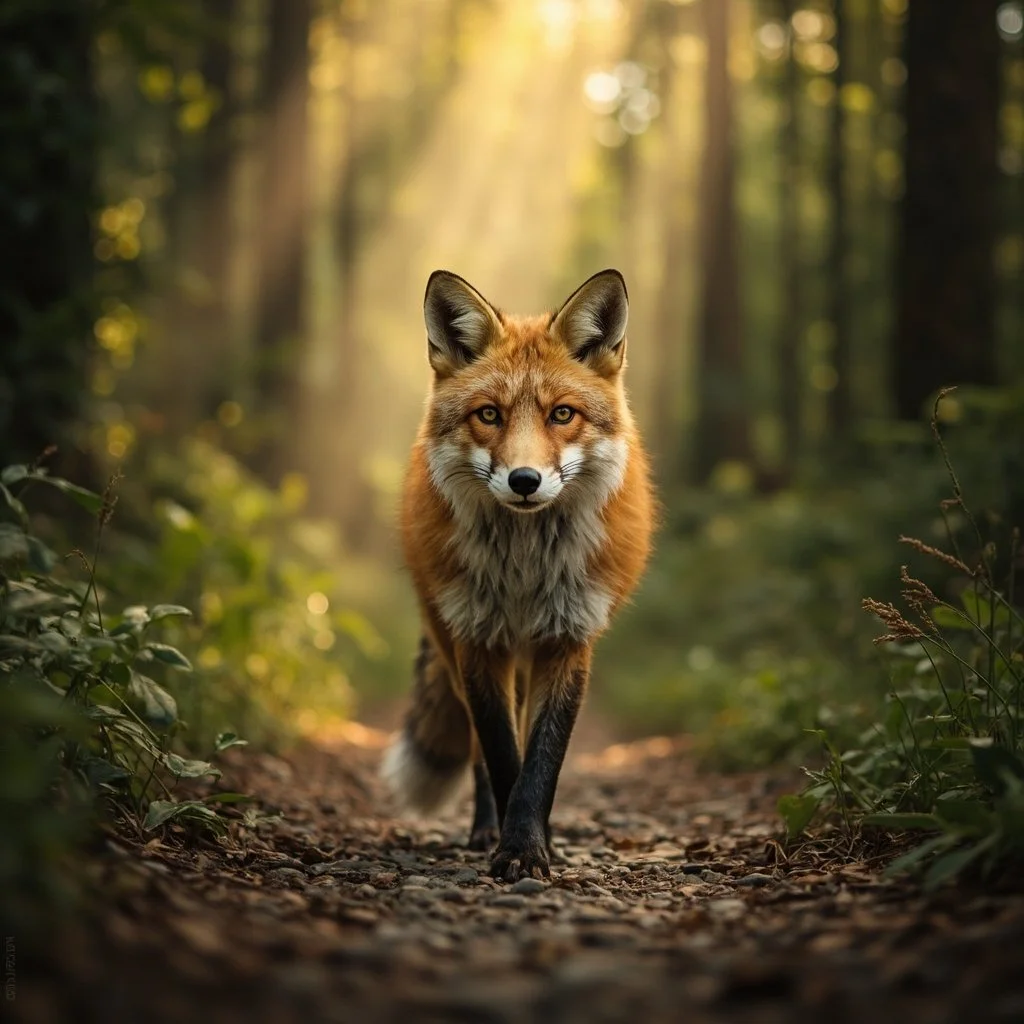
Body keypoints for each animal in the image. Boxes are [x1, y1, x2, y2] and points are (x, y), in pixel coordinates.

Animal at [383, 268, 654, 882]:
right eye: (489, 414)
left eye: (562, 414)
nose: (525, 480)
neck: (526, 573)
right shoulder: (478, 641)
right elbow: (504, 758)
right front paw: (514, 847)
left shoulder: (568, 640)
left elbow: (541, 763)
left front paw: (533, 846)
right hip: (458, 647)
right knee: (479, 753)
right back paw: (487, 829)